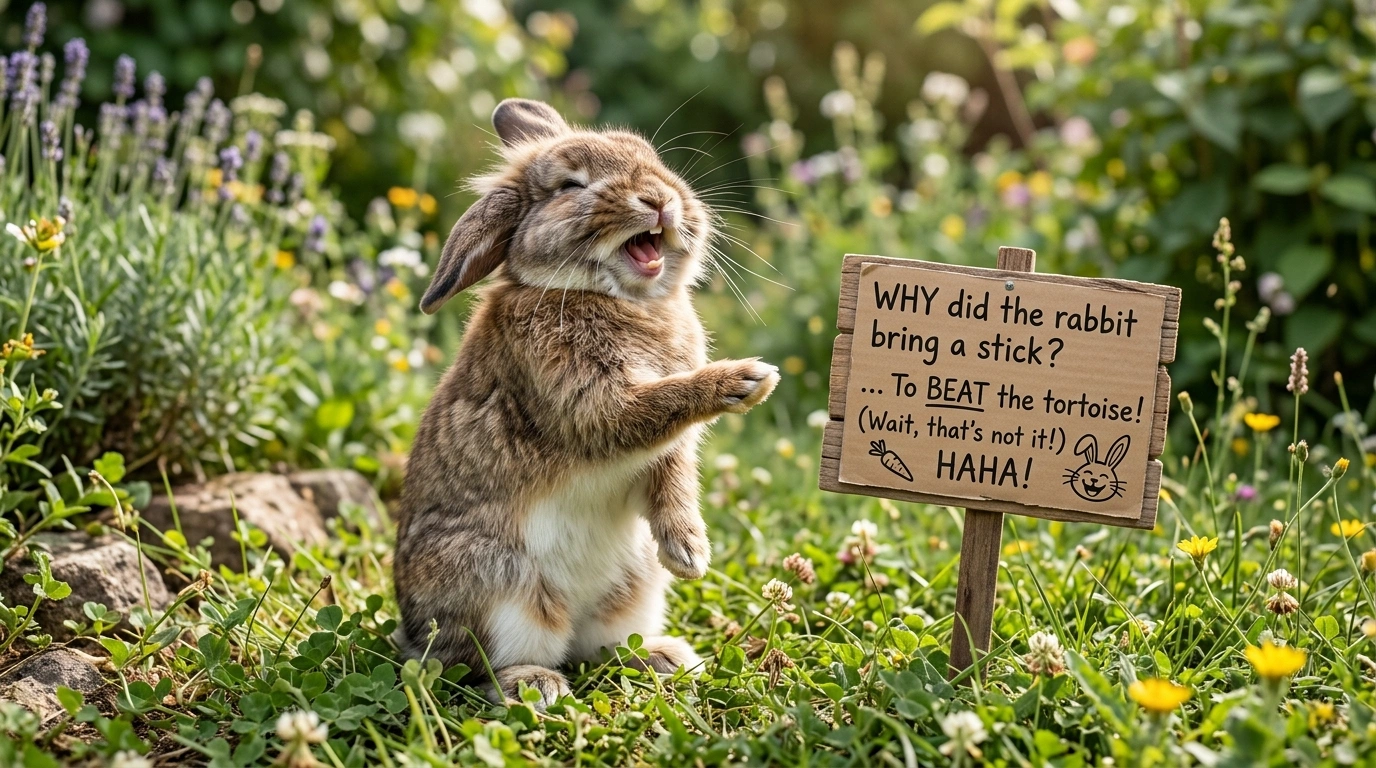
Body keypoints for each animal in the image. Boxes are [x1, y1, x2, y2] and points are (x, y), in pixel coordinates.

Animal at [392, 98, 780, 710]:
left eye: (653, 158)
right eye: (571, 186)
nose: (658, 200)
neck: (617, 298)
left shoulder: (669, 453)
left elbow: (672, 473)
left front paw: (689, 553)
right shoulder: (586, 402)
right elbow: (647, 411)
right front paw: (747, 380)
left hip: (632, 590)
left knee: (599, 649)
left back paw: (664, 658)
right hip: (496, 585)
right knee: (481, 667)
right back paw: (536, 684)